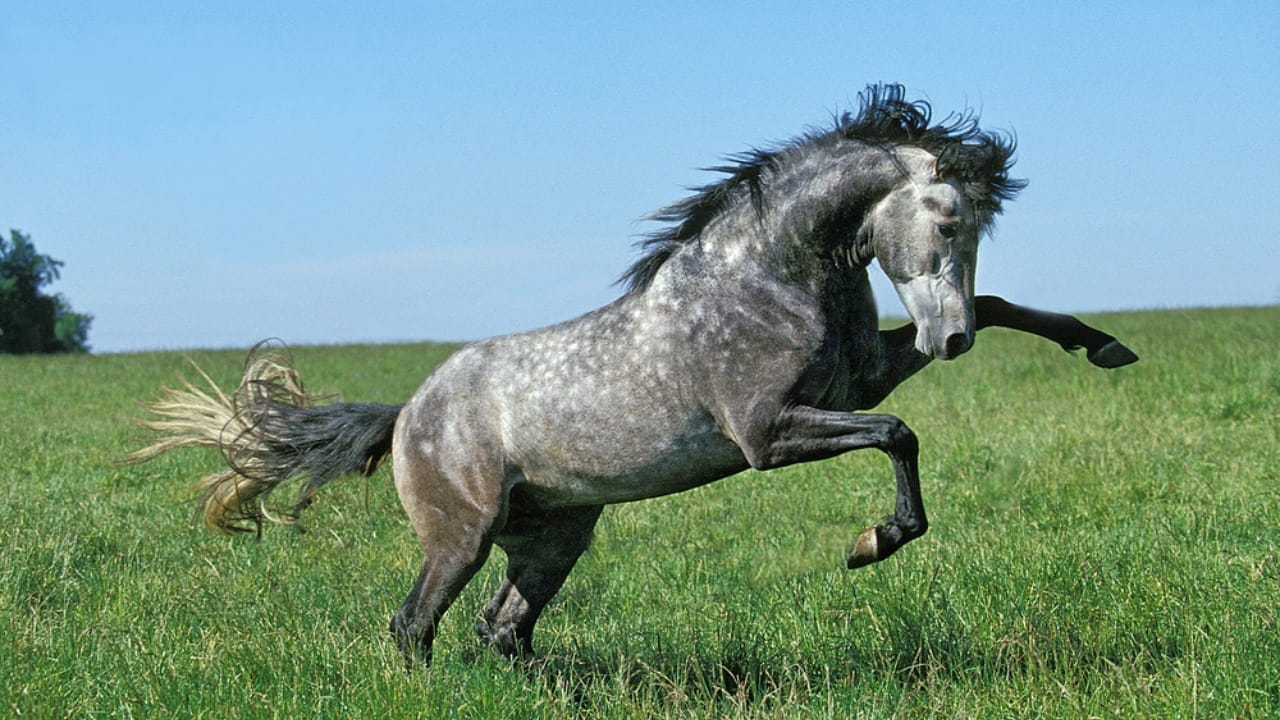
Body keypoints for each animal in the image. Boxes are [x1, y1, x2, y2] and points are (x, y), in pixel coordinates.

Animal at [129, 83, 1137, 668]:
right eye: (948, 219)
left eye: (977, 224)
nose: (948, 339)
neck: (766, 276)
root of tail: (408, 412)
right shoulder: (768, 431)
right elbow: (900, 435)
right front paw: (872, 543)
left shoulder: (855, 380)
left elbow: (997, 314)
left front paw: (1101, 346)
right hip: (462, 534)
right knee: (415, 627)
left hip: (554, 538)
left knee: (502, 629)